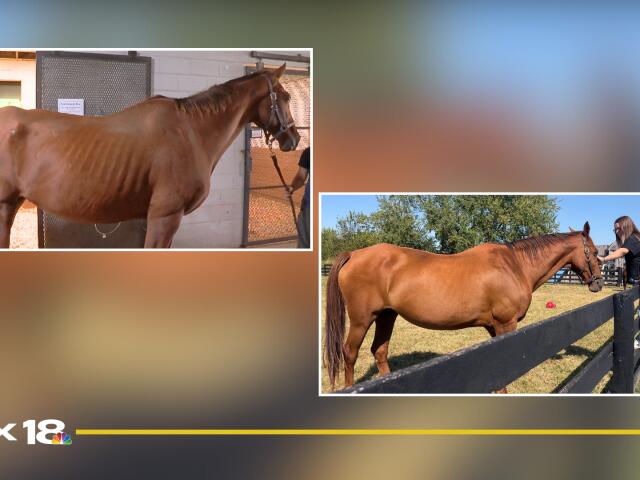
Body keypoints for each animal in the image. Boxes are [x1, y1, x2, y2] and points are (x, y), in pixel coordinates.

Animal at [324, 222, 604, 391]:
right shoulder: (506, 324)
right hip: (362, 319)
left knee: (379, 351)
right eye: (593, 252)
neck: (514, 265)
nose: (599, 283)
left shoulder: (494, 327)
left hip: (386, 316)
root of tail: (354, 254)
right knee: (350, 353)